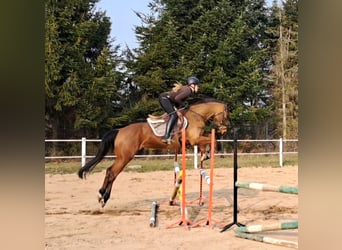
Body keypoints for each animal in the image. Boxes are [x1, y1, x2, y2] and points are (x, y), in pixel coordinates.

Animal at [77, 98, 227, 208]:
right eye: (226, 114)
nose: (225, 129)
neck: (197, 116)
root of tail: (119, 131)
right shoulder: (194, 139)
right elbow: (213, 139)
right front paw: (207, 154)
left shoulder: (194, 140)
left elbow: (209, 138)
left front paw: (205, 154)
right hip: (125, 157)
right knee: (112, 173)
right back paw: (102, 197)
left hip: (122, 157)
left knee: (110, 172)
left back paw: (103, 197)